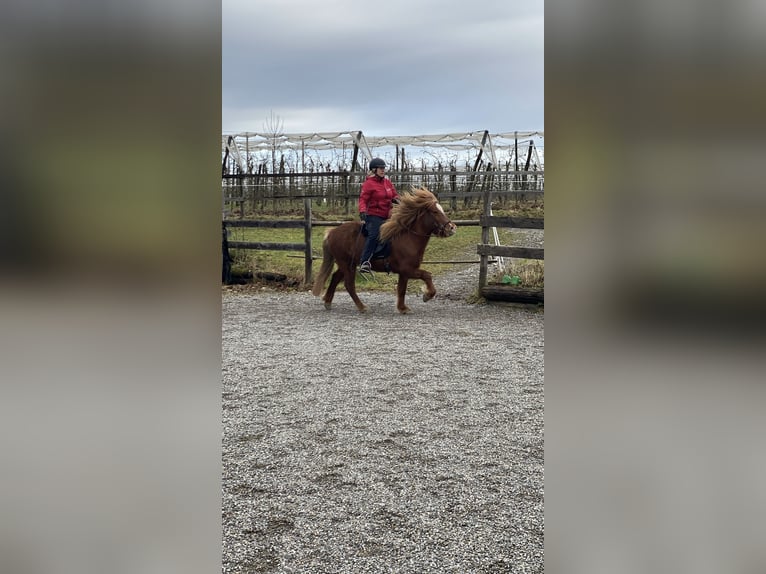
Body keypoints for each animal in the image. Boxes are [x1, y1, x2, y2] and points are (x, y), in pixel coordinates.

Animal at [310, 188, 456, 316]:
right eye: (435, 211)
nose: (451, 228)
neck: (408, 238)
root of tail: (331, 232)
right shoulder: (407, 269)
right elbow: (427, 275)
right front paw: (427, 295)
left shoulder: (404, 272)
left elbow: (401, 289)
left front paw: (402, 308)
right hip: (347, 265)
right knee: (349, 285)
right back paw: (362, 307)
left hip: (347, 264)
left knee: (335, 278)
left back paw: (328, 302)